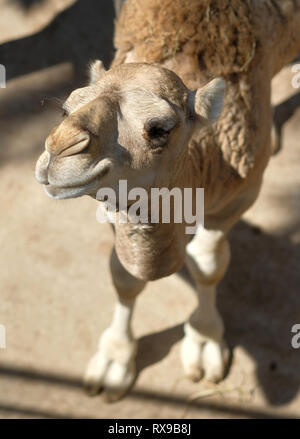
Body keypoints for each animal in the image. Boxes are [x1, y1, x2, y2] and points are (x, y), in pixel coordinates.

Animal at [34, 0, 300, 402]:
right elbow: (124, 274)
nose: (60, 150)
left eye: (159, 128)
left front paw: (205, 343)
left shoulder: (237, 199)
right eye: (65, 109)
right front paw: (114, 361)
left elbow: (207, 264)